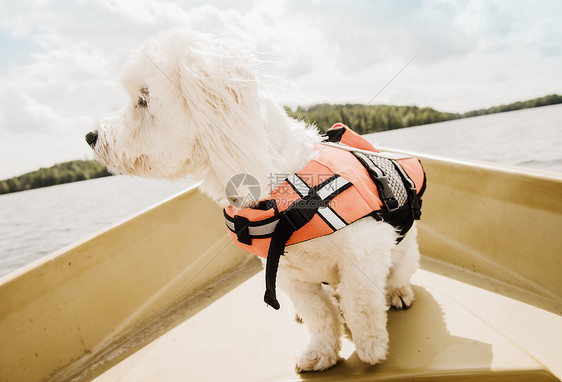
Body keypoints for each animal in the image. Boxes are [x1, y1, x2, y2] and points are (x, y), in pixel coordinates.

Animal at [87, 30, 418, 374]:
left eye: (144, 98)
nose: (90, 136)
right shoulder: (287, 274)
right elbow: (319, 314)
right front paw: (321, 352)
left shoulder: (366, 251)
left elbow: (360, 304)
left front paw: (371, 347)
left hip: (406, 252)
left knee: (395, 277)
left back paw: (397, 292)